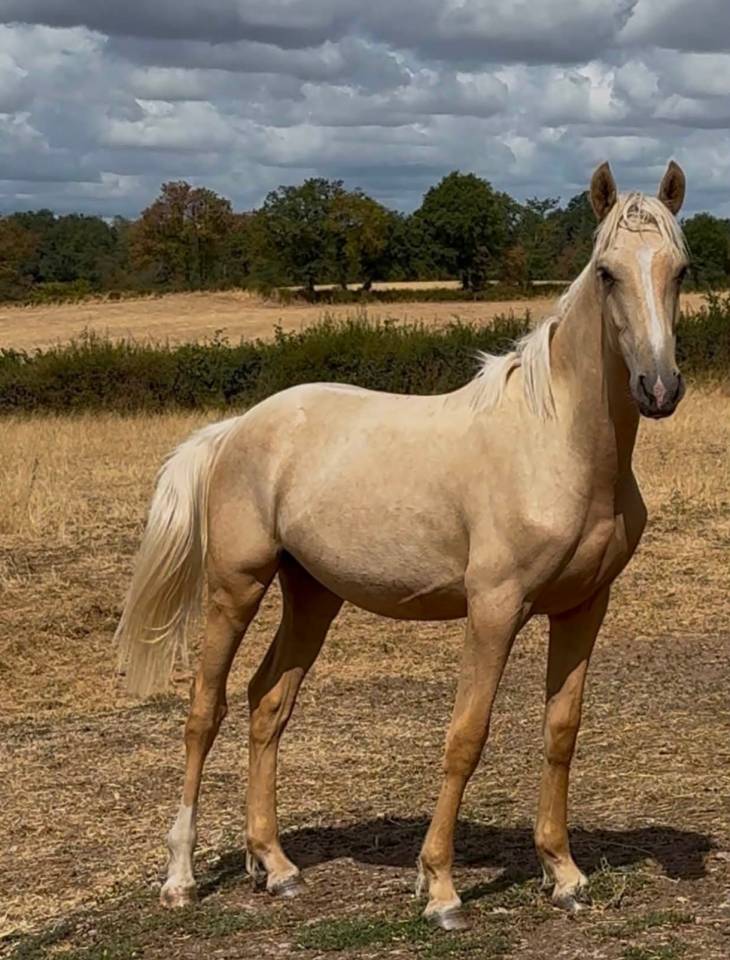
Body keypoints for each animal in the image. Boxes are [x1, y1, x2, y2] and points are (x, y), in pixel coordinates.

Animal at [116, 161, 689, 931]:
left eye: (679, 270)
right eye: (606, 272)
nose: (659, 389)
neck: (555, 445)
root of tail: (238, 428)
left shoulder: (584, 607)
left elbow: (561, 731)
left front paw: (563, 874)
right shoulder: (494, 609)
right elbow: (465, 736)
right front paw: (440, 889)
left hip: (312, 595)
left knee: (268, 703)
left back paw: (276, 866)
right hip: (237, 586)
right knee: (205, 711)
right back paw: (179, 878)